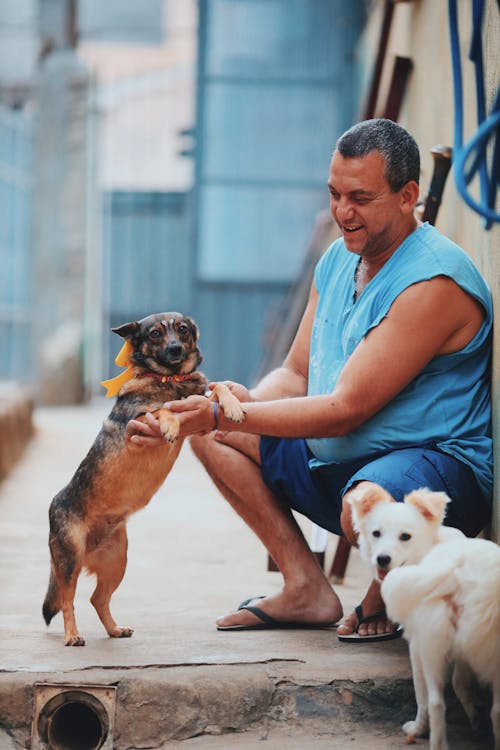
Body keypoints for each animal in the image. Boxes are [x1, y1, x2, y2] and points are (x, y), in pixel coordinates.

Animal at [42, 312, 244, 648]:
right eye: (155, 334)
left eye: (183, 330)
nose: (175, 349)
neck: (170, 380)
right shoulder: (136, 428)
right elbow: (161, 410)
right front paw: (170, 424)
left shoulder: (199, 407)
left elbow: (216, 390)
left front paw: (234, 405)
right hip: (69, 560)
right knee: (68, 601)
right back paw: (73, 635)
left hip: (117, 561)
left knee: (97, 599)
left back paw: (114, 629)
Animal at [348, 488, 500, 750]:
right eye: (376, 533)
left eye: (405, 536)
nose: (382, 559)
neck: (431, 547)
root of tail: (456, 567)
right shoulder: (462, 644)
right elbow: (460, 682)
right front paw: (475, 716)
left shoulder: (417, 643)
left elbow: (422, 694)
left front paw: (419, 728)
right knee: (497, 711)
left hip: (431, 647)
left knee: (436, 703)